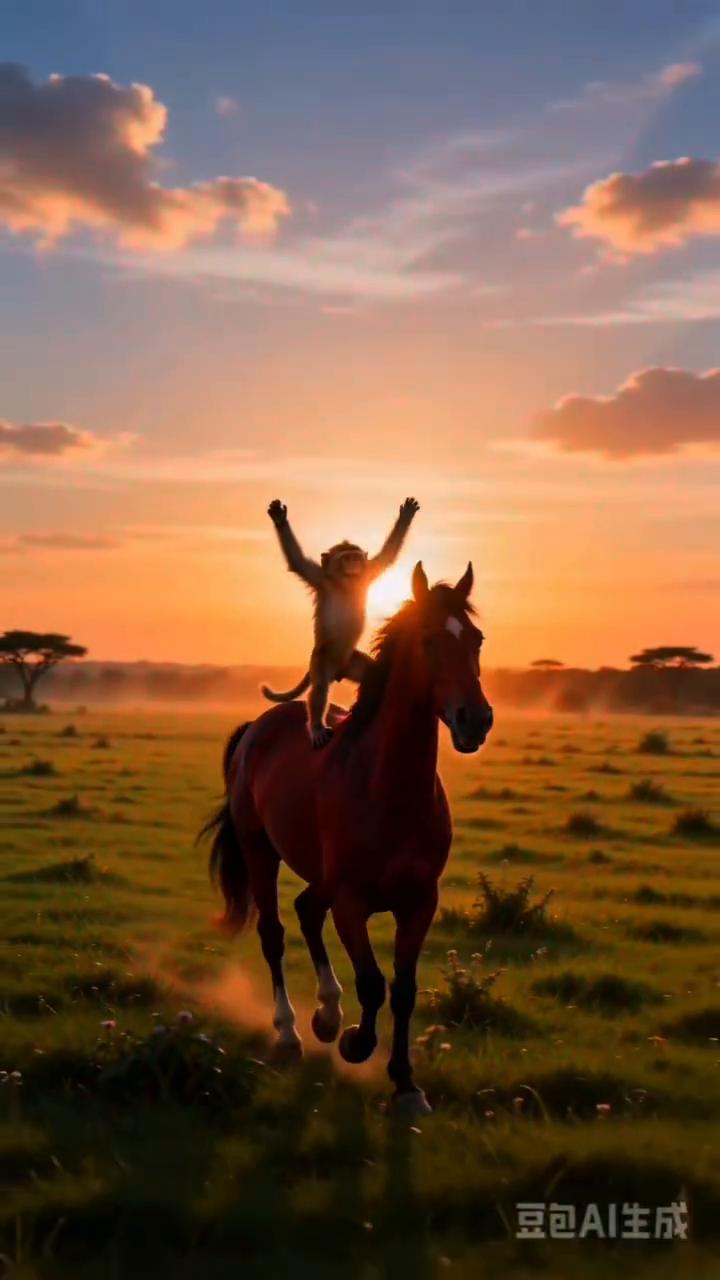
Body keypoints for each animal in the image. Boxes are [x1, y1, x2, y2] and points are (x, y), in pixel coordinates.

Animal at [201, 559, 494, 1114]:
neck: (387, 790)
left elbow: (403, 988)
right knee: (274, 932)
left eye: (477, 640)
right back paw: (291, 1032)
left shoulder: (419, 901)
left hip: (321, 876)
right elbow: (373, 982)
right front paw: (357, 1043)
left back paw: (327, 1013)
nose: (476, 720)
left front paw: (405, 1083)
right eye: (428, 639)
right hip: (261, 852)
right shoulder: (352, 901)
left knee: (306, 910)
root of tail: (258, 727)